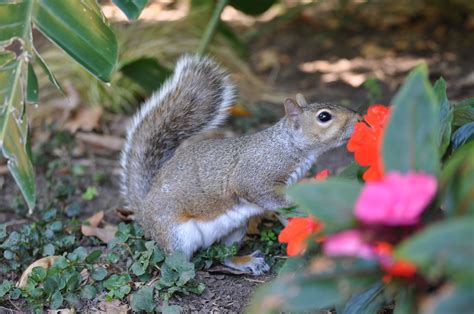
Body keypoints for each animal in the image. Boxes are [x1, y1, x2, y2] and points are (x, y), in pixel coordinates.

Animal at [120, 55, 362, 274]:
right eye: (324, 117)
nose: (358, 118)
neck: (288, 146)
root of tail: (144, 208)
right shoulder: (256, 175)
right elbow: (265, 194)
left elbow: (285, 215)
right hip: (176, 234)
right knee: (177, 262)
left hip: (234, 230)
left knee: (225, 256)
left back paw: (244, 262)